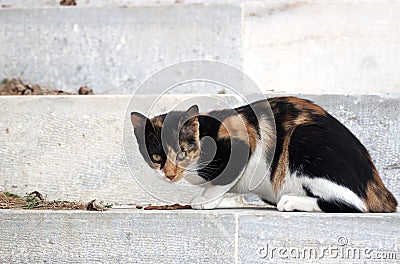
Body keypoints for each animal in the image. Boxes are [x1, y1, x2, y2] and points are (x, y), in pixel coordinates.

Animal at [130, 96, 396, 212]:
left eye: (182, 153)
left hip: (304, 140)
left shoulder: (243, 140)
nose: (170, 175)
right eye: (157, 158)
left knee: (353, 204)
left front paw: (206, 200)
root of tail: (380, 189)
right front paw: (226, 200)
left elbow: (222, 181)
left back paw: (289, 201)